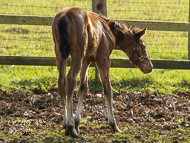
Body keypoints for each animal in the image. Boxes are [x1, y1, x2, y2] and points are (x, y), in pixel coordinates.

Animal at [52, 7, 153, 137]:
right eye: (143, 46)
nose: (150, 66)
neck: (108, 30)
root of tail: (65, 15)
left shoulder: (86, 60)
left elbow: (83, 88)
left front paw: (77, 123)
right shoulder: (103, 59)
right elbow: (108, 89)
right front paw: (113, 124)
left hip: (60, 54)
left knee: (61, 83)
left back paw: (65, 125)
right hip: (77, 54)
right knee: (70, 80)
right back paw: (70, 127)